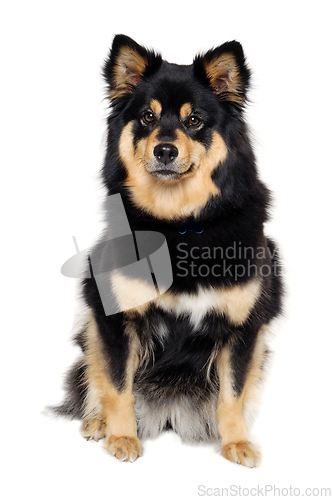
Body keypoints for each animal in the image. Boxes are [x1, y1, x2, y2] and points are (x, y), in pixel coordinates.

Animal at [55, 36, 282, 468]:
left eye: (194, 121)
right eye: (147, 117)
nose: (164, 150)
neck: (177, 225)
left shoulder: (244, 327)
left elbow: (232, 393)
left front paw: (236, 443)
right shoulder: (115, 318)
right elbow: (117, 384)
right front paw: (122, 437)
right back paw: (98, 422)